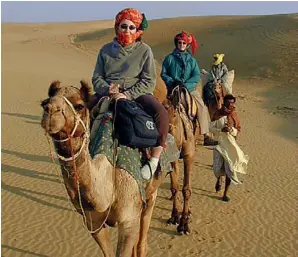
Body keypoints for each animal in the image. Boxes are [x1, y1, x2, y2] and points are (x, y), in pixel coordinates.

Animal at [40, 80, 163, 256]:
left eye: (79, 106)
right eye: (44, 102)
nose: (50, 111)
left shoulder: (129, 219)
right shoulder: (93, 222)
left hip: (151, 194)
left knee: (142, 241)